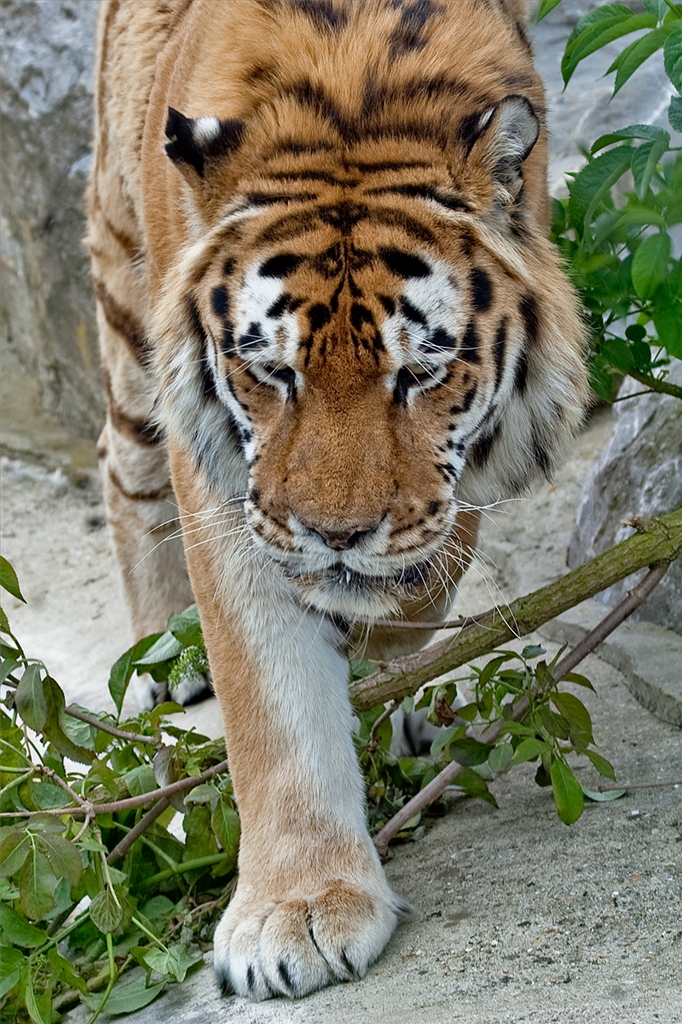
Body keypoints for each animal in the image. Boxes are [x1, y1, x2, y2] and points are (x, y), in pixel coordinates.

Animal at [87, 0, 589, 1001]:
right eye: (272, 372)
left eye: (422, 373)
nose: (336, 535)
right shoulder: (231, 493)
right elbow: (271, 701)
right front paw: (301, 908)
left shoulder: (451, 483)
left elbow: (424, 583)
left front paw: (383, 673)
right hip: (126, 301)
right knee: (122, 466)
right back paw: (162, 653)